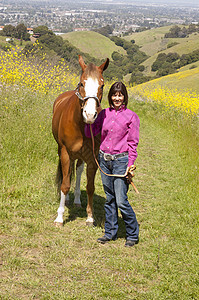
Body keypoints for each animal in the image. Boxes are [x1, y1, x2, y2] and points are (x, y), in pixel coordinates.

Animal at [52, 55, 109, 226]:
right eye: (82, 83)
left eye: (102, 85)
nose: (89, 115)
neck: (80, 124)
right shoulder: (65, 152)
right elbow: (64, 185)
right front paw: (60, 217)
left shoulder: (92, 158)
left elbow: (90, 187)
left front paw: (90, 217)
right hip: (64, 152)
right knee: (68, 173)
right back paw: (68, 200)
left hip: (81, 157)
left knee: (77, 171)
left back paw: (77, 200)